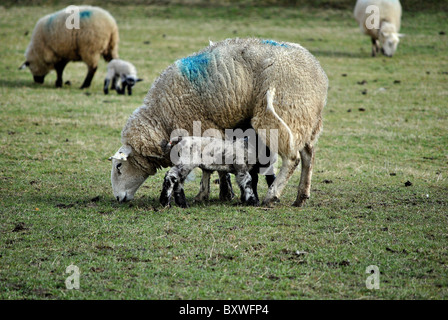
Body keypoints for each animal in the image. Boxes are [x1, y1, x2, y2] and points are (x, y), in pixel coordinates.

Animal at [110, 37, 328, 208]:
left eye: (119, 167)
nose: (118, 198)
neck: (161, 119)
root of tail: (319, 74)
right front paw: (220, 192)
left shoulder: (204, 127)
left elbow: (209, 166)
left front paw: (220, 192)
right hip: (304, 120)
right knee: (308, 156)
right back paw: (301, 196)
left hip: (282, 113)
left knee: (292, 158)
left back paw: (271, 195)